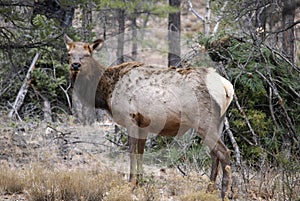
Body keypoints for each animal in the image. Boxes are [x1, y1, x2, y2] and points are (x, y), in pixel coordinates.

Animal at [64, 34, 236, 199]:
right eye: (70, 54)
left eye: (87, 54)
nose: (75, 65)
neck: (107, 93)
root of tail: (226, 86)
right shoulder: (143, 124)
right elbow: (141, 152)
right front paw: (140, 182)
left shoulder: (131, 118)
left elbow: (132, 151)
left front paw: (131, 183)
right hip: (219, 122)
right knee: (214, 154)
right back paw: (209, 190)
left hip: (204, 121)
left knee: (224, 152)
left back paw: (225, 193)